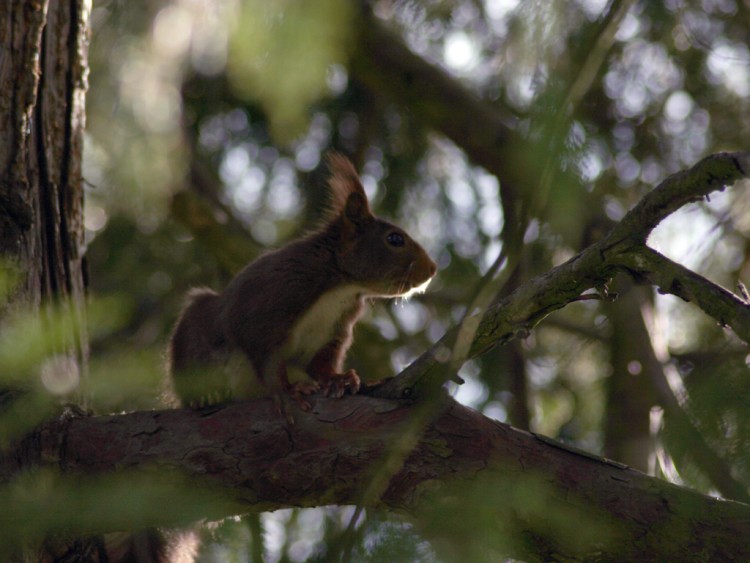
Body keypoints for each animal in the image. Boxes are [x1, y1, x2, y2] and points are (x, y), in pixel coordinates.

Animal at [167, 154, 438, 414]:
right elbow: (262, 350)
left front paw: (338, 379)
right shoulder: (273, 297)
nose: (432, 268)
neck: (340, 286)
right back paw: (204, 398)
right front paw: (287, 391)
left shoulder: (335, 326)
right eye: (395, 239)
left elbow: (320, 361)